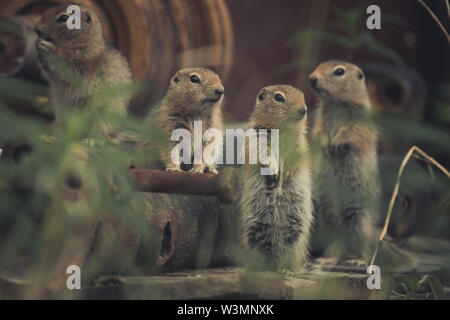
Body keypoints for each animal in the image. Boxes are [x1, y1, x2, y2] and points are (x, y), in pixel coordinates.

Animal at [239, 84, 312, 272]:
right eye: (278, 97)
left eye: (302, 95)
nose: (304, 110)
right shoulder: (257, 138)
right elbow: (263, 153)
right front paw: (274, 170)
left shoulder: (300, 146)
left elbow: (297, 161)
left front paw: (285, 175)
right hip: (254, 230)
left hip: (296, 232)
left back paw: (287, 270)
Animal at [312, 60, 382, 262]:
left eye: (339, 71)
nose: (312, 78)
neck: (335, 103)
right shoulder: (320, 121)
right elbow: (319, 133)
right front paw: (325, 146)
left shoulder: (359, 122)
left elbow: (350, 133)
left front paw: (335, 145)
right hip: (327, 218)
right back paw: (328, 258)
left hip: (358, 217)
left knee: (360, 243)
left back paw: (358, 260)